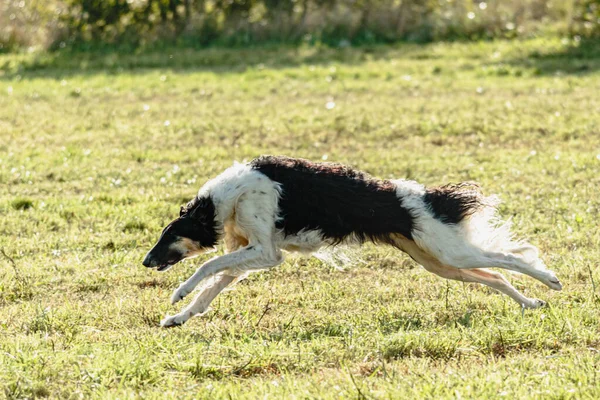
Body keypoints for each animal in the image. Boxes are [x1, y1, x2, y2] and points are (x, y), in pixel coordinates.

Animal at [142, 155, 564, 326]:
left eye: (169, 236)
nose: (146, 261)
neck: (227, 197)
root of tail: (427, 197)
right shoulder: (250, 255)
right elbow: (209, 290)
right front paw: (178, 317)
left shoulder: (266, 252)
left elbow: (207, 266)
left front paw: (178, 293)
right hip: (440, 262)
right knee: (497, 275)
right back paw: (530, 302)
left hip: (450, 252)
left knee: (510, 259)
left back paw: (550, 280)